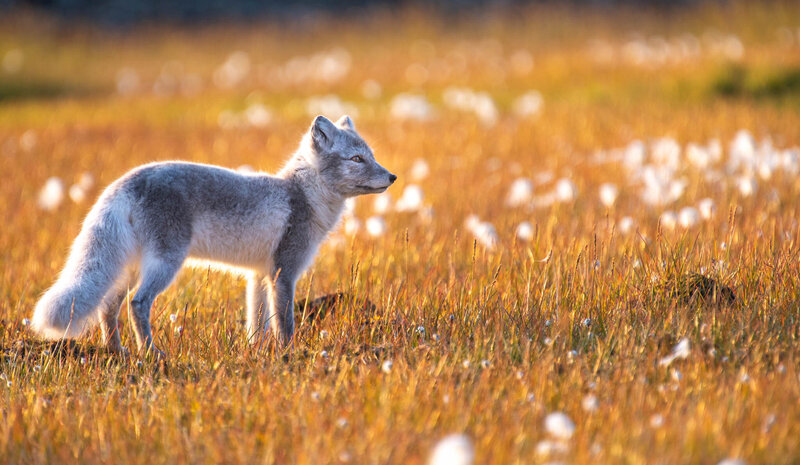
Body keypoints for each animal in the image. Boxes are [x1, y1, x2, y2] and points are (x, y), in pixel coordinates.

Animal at [30, 115, 396, 357]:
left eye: (372, 156)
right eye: (357, 159)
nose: (392, 177)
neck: (303, 195)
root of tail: (124, 181)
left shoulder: (258, 275)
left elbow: (256, 324)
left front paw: (256, 355)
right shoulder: (283, 273)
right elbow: (286, 324)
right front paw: (289, 357)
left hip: (128, 268)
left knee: (108, 307)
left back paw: (117, 353)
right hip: (164, 264)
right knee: (137, 303)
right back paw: (151, 353)